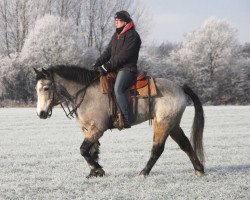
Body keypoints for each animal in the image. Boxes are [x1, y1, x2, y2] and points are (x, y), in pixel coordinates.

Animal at [33, 65, 205, 178]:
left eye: (46, 88)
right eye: (36, 88)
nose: (40, 113)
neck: (86, 93)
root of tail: (180, 87)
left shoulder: (98, 129)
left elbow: (83, 150)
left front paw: (98, 170)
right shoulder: (88, 129)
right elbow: (92, 150)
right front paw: (94, 172)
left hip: (163, 123)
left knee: (157, 148)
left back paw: (144, 172)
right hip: (173, 124)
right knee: (185, 144)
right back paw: (199, 169)